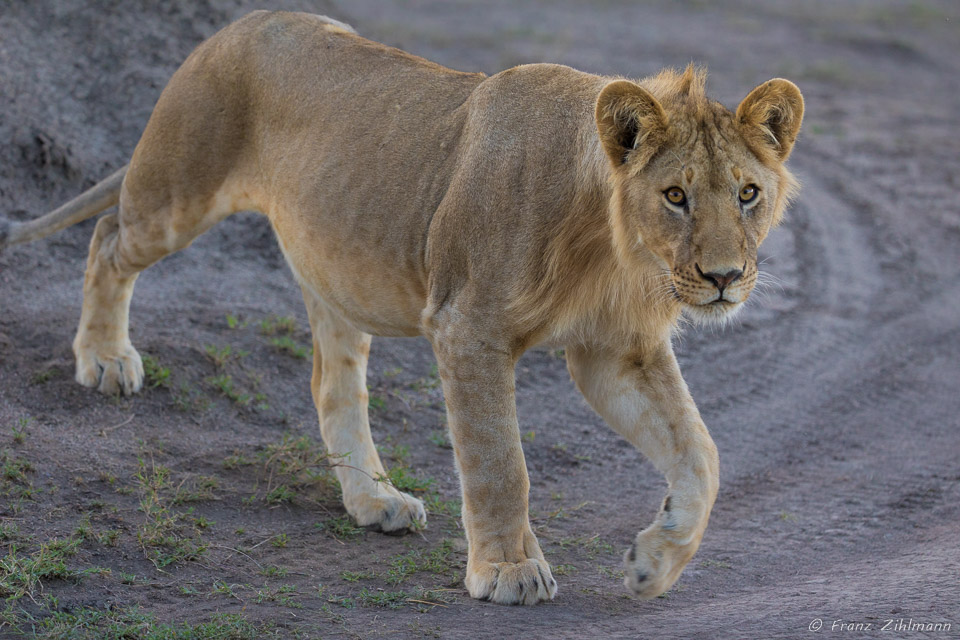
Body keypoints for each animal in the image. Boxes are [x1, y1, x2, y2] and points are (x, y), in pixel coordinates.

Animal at [0, 12, 800, 608]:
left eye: (748, 194)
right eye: (676, 196)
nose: (725, 278)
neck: (612, 252)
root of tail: (241, 22)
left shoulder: (614, 351)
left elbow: (701, 453)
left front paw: (652, 563)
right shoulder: (468, 328)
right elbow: (501, 461)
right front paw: (507, 571)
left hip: (334, 272)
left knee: (333, 386)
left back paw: (374, 500)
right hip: (174, 190)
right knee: (107, 238)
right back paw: (104, 359)